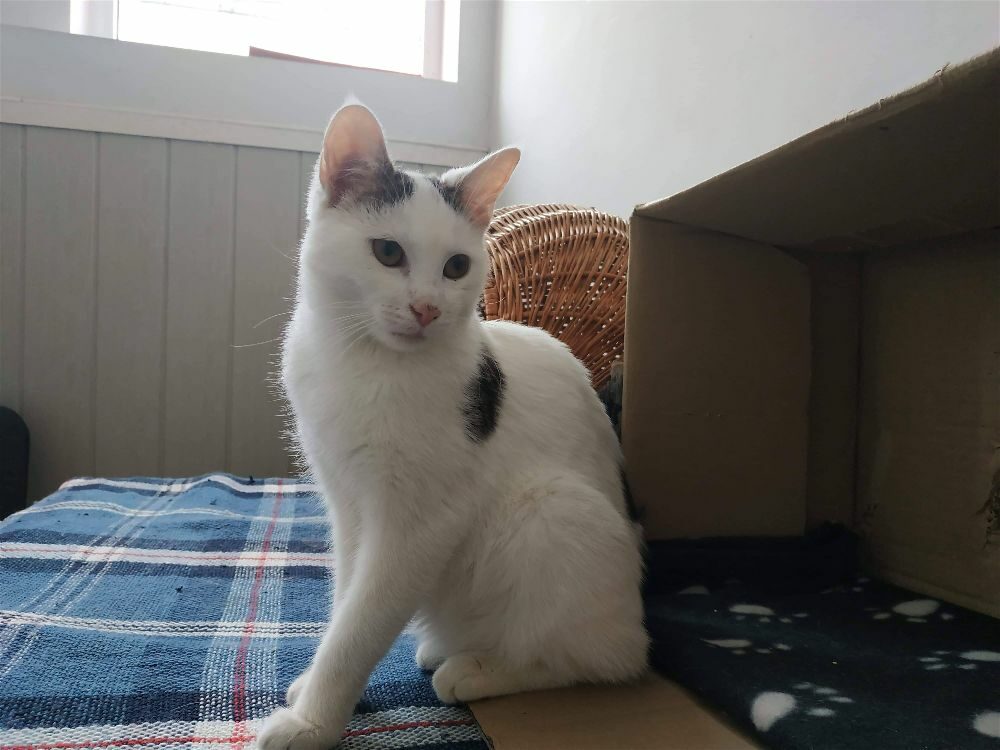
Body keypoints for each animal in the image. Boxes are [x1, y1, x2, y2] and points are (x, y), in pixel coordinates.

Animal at [257, 103, 649, 749]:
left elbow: (363, 621)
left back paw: (481, 670)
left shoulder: (419, 526)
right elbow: (347, 598)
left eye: (457, 266)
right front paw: (321, 687)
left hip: (549, 507)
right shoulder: (349, 505)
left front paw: (314, 719)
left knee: (603, 659)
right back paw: (445, 650)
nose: (426, 309)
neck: (364, 363)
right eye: (388, 253)